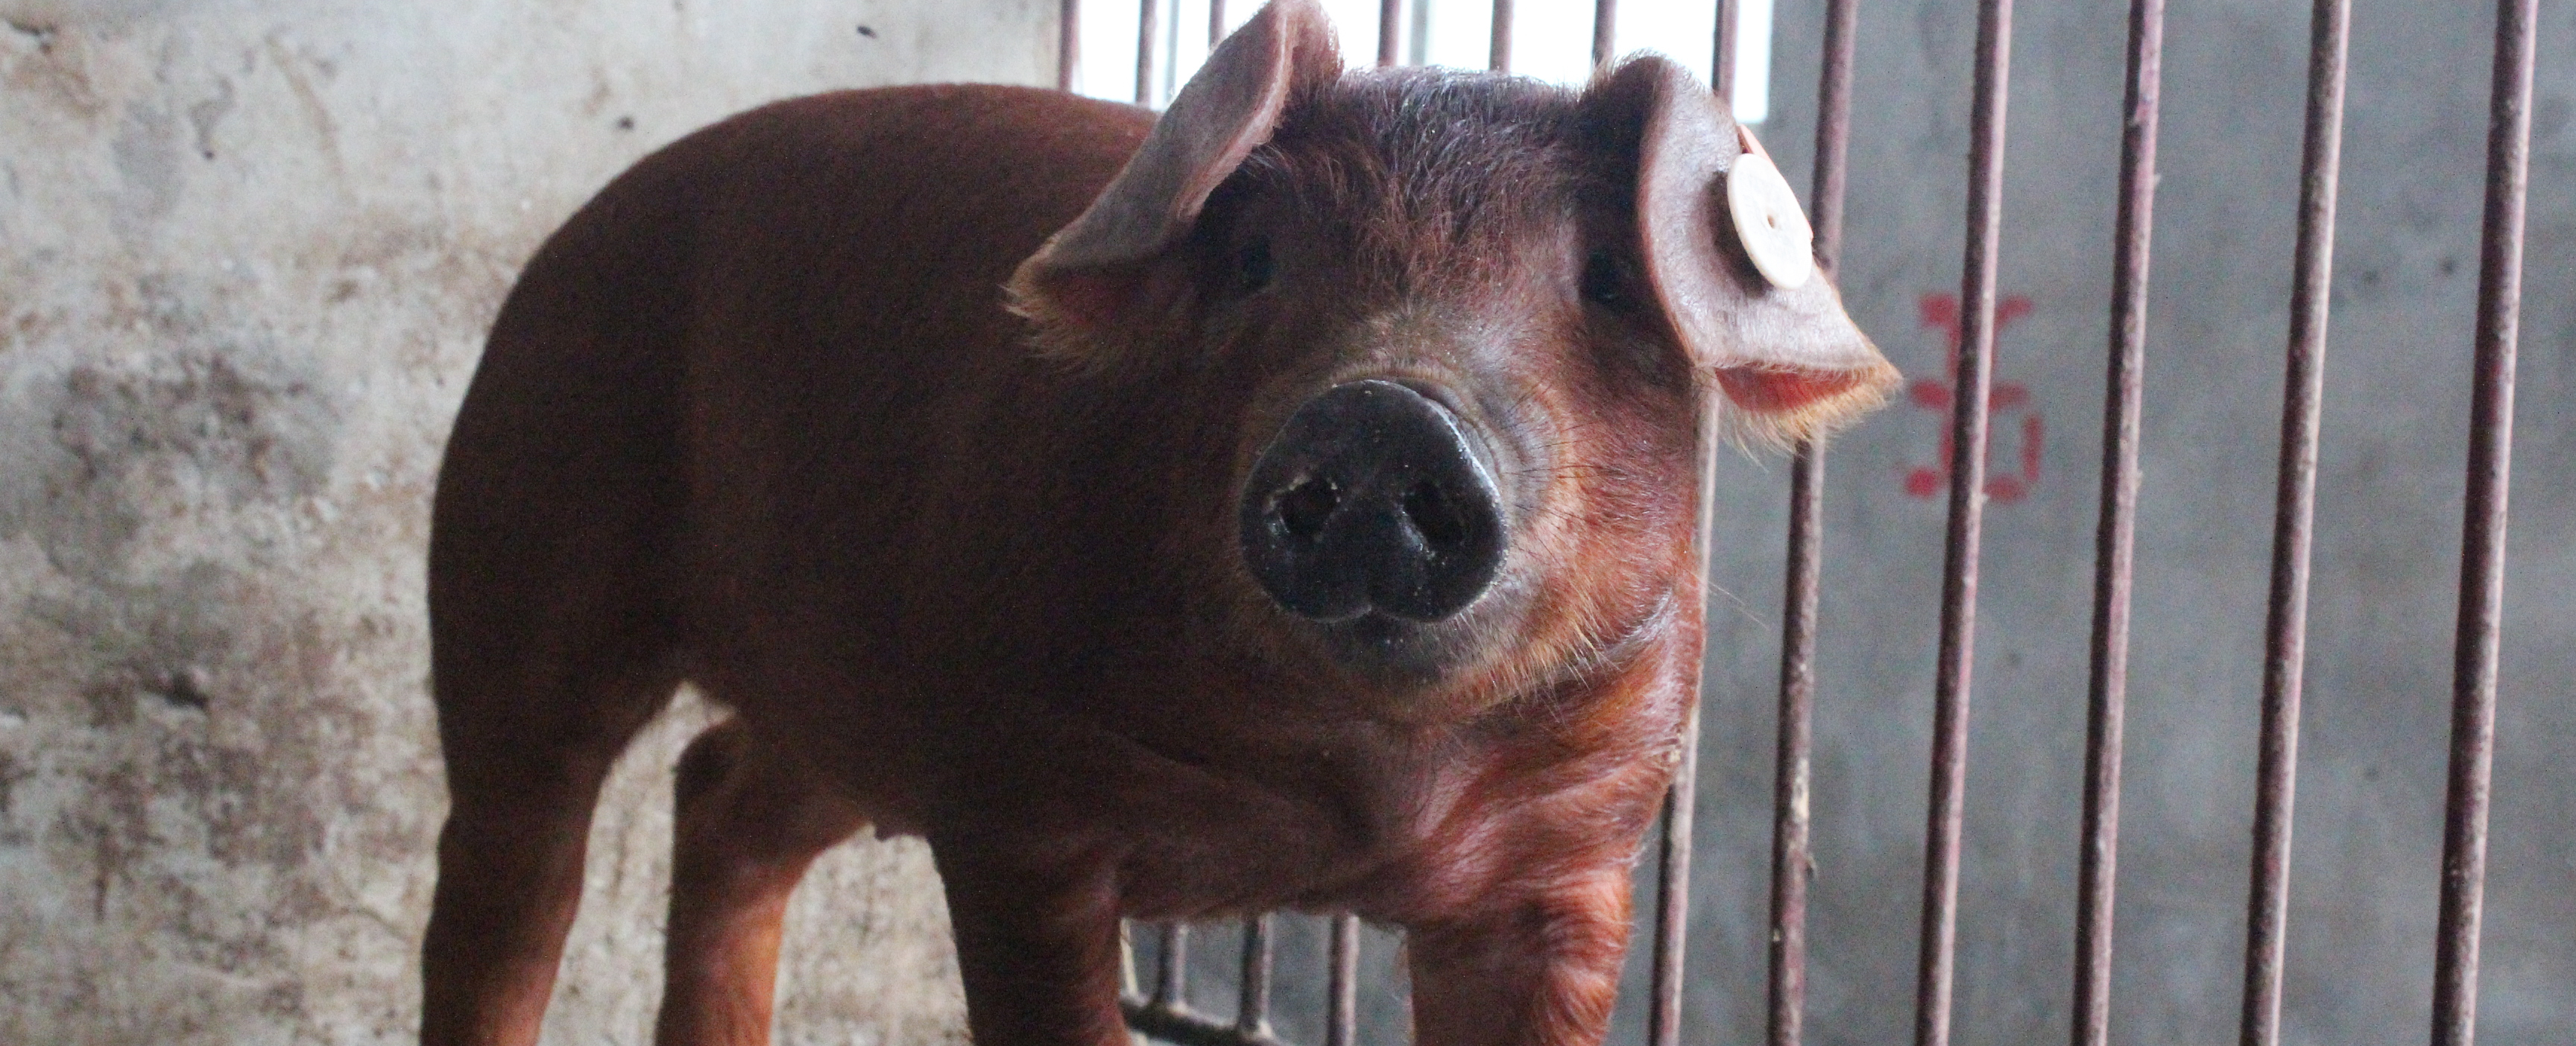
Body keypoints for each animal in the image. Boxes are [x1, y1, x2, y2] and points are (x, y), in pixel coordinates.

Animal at [418, 2, 1895, 1044]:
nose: (1386, 413)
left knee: (719, 797)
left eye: (1603, 281)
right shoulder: (1015, 801)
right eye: (1253, 259)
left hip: (851, 693)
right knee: (510, 873)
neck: (1357, 801)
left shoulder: (1575, 857)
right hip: (522, 535)